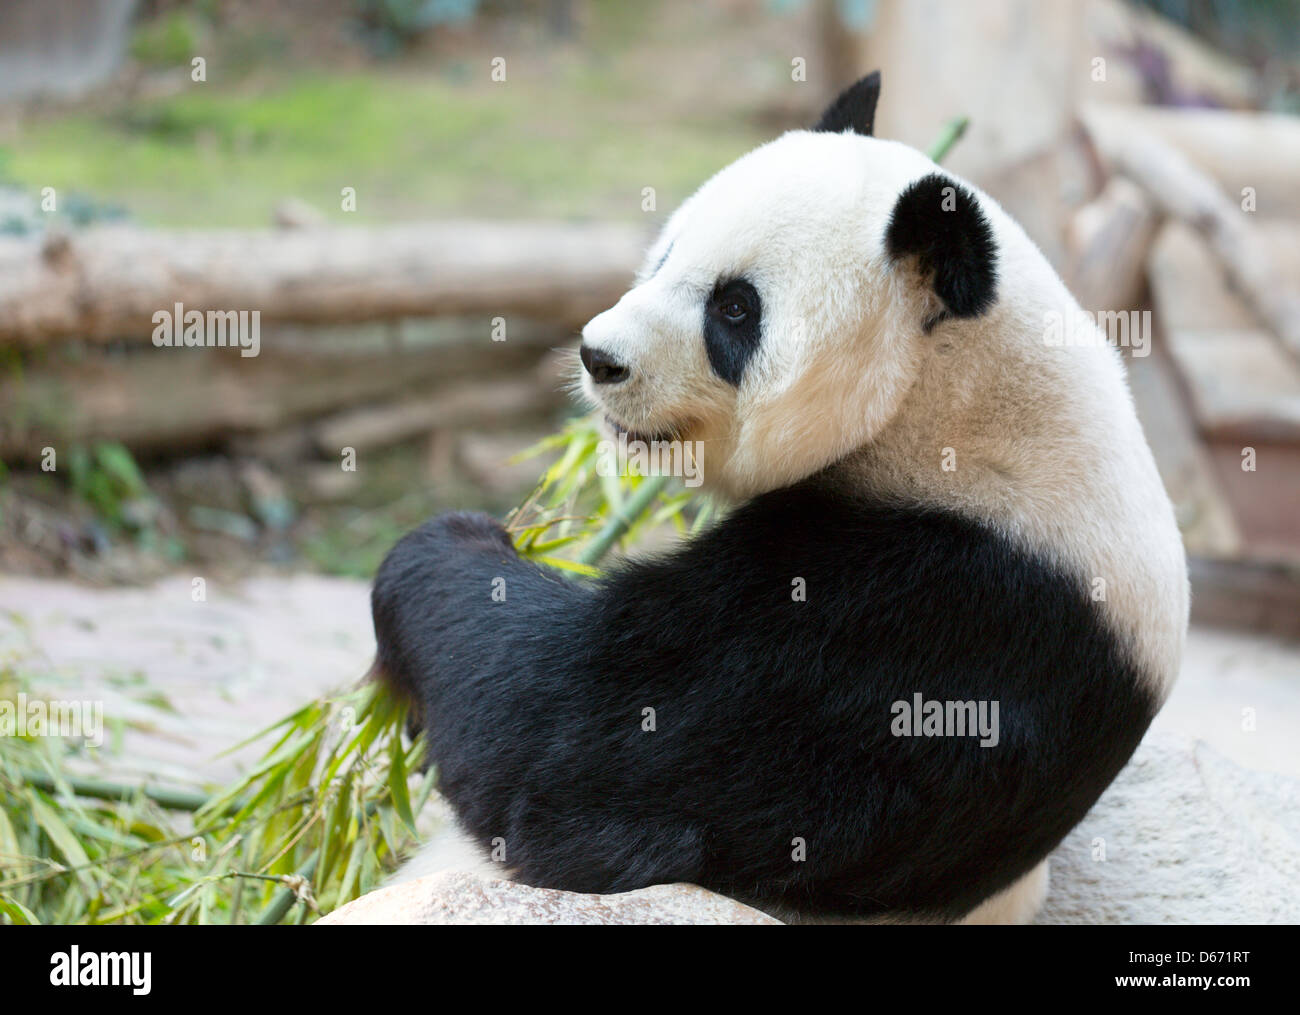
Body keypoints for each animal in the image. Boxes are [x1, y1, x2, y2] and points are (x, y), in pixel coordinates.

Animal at [371, 71, 1190, 920]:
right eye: (667, 251)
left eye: (734, 308)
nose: (600, 357)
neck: (954, 407)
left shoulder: (933, 624)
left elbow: (569, 744)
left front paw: (458, 543)